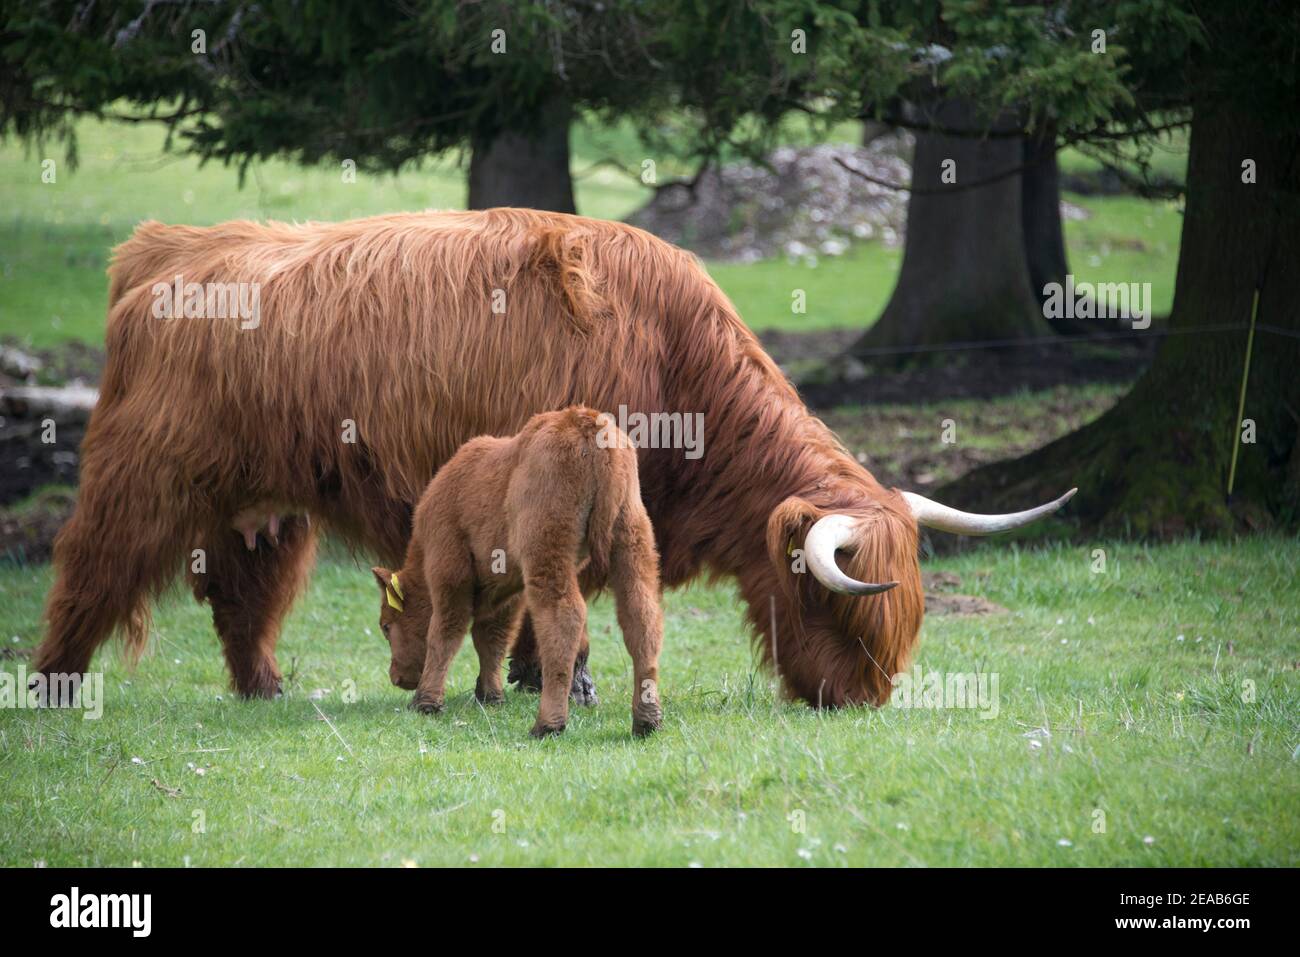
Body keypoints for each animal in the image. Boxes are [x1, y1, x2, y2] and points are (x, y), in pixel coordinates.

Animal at [371, 406, 662, 738]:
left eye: (386, 625)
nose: (397, 678)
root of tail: (586, 422)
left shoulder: (450, 572)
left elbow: (445, 632)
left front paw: (426, 702)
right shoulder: (508, 590)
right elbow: (492, 638)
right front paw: (490, 695)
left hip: (548, 555)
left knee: (565, 618)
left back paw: (547, 724)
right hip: (631, 544)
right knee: (641, 617)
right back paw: (646, 721)